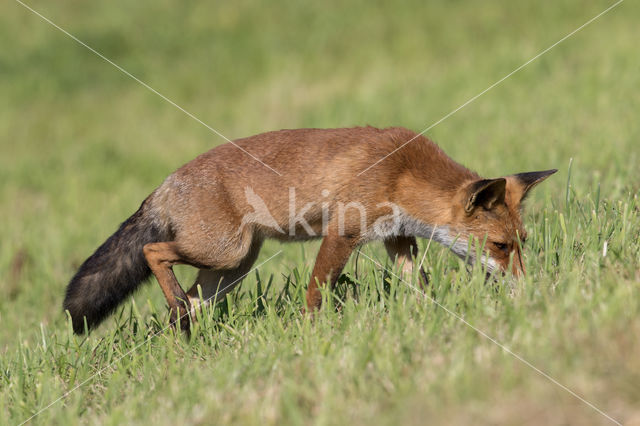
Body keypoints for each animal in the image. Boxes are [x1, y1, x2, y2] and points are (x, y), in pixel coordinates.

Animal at [63, 126, 556, 332]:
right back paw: (178, 312)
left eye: (522, 245)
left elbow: (417, 284)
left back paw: (185, 338)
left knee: (192, 303)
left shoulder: (397, 236)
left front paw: (424, 314)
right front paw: (309, 333)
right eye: (500, 246)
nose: (528, 289)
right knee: (154, 253)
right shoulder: (343, 232)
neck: (402, 172)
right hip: (224, 252)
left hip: (232, 269)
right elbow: (317, 292)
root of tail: (165, 184)